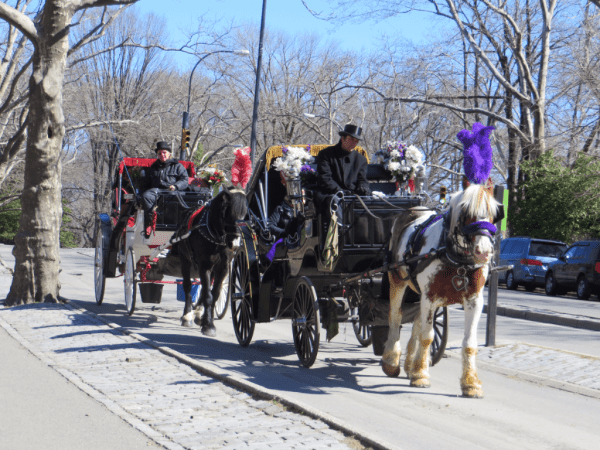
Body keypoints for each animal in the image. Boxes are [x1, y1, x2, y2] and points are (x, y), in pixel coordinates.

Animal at [176, 187, 248, 338]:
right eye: (229, 213)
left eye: (246, 215)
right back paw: (187, 315)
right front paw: (208, 326)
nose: (235, 243)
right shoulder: (204, 266)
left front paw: (206, 320)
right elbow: (208, 295)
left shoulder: (223, 267)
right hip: (184, 258)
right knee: (187, 286)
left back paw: (198, 314)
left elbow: (214, 294)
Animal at [384, 183, 502, 398]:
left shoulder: (474, 301)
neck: (456, 258)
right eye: (466, 212)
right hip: (396, 279)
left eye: (494, 213)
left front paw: (471, 383)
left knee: (416, 322)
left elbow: (469, 342)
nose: (483, 252)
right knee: (396, 316)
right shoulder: (430, 297)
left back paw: (409, 364)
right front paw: (421, 376)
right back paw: (391, 361)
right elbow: (427, 336)